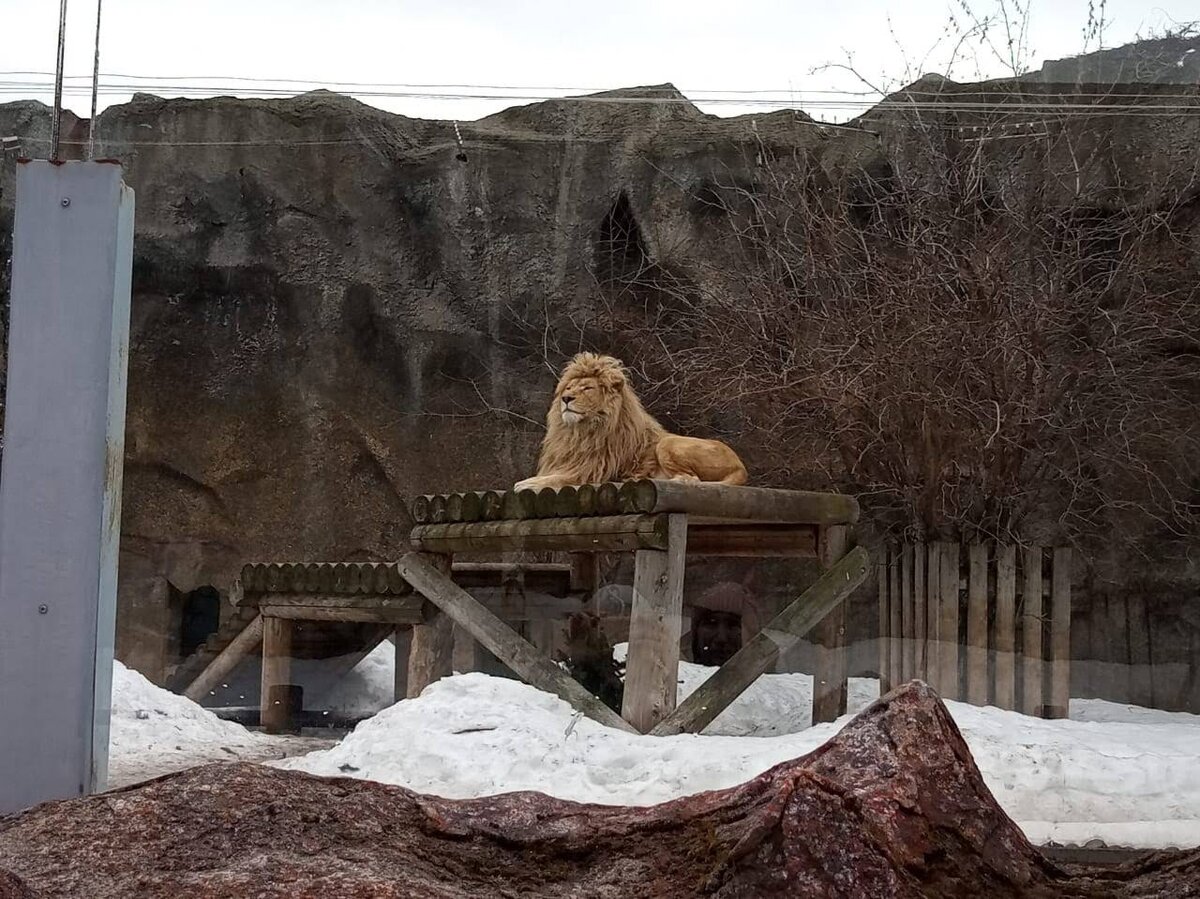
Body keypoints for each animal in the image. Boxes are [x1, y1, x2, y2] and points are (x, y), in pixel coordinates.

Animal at [511, 352, 744, 492]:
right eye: (568, 388)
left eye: (587, 388)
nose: (566, 399)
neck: (579, 431)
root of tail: (741, 466)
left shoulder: (592, 470)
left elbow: (557, 478)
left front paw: (526, 483)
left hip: (667, 443)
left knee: (692, 479)